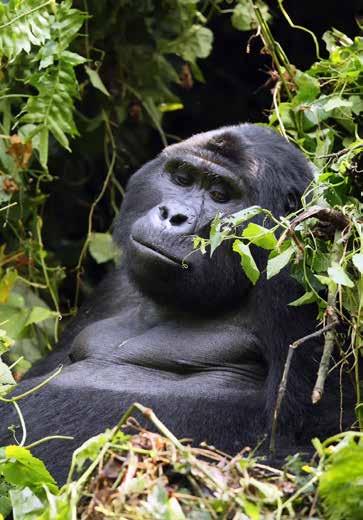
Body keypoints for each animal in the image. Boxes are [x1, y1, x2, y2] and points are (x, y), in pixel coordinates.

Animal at [0, 124, 356, 482]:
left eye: (220, 194)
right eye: (183, 178)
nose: (173, 215)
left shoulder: (297, 280)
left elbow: (310, 448)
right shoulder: (117, 283)